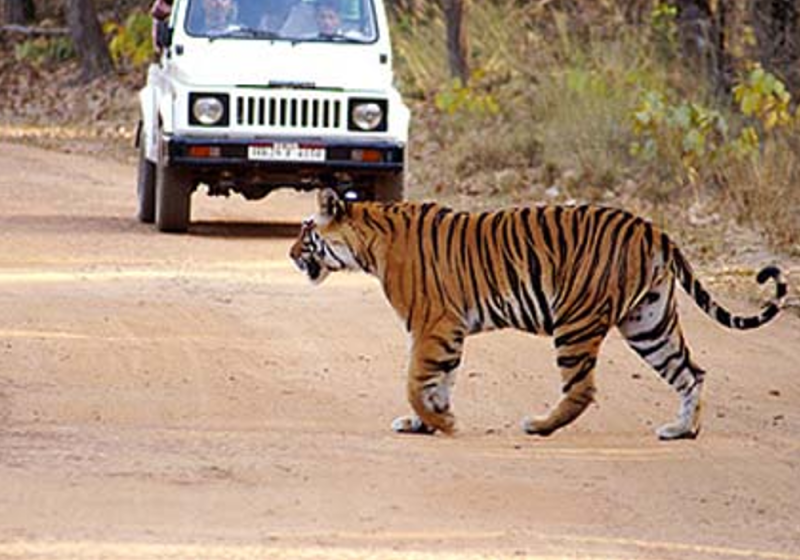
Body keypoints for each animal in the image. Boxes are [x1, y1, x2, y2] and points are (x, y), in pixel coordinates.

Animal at [289, 188, 788, 440]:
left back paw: (540, 425)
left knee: (583, 389)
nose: (291, 254)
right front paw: (426, 422)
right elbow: (439, 383)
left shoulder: (435, 326)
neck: (369, 244)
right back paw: (682, 430)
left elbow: (416, 382)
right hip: (649, 323)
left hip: (576, 321)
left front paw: (440, 423)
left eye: (306, 231)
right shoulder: (449, 333)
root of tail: (652, 228)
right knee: (691, 372)